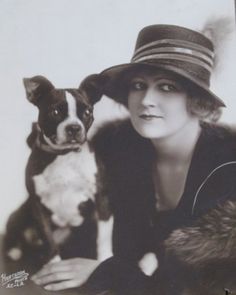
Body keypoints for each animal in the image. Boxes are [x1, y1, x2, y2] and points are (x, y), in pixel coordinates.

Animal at [3, 75, 113, 270]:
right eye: (54, 112)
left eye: (87, 112)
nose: (74, 128)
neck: (64, 155)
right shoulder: (37, 205)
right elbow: (47, 237)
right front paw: (53, 263)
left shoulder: (102, 199)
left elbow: (103, 237)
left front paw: (104, 259)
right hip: (19, 214)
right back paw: (14, 250)